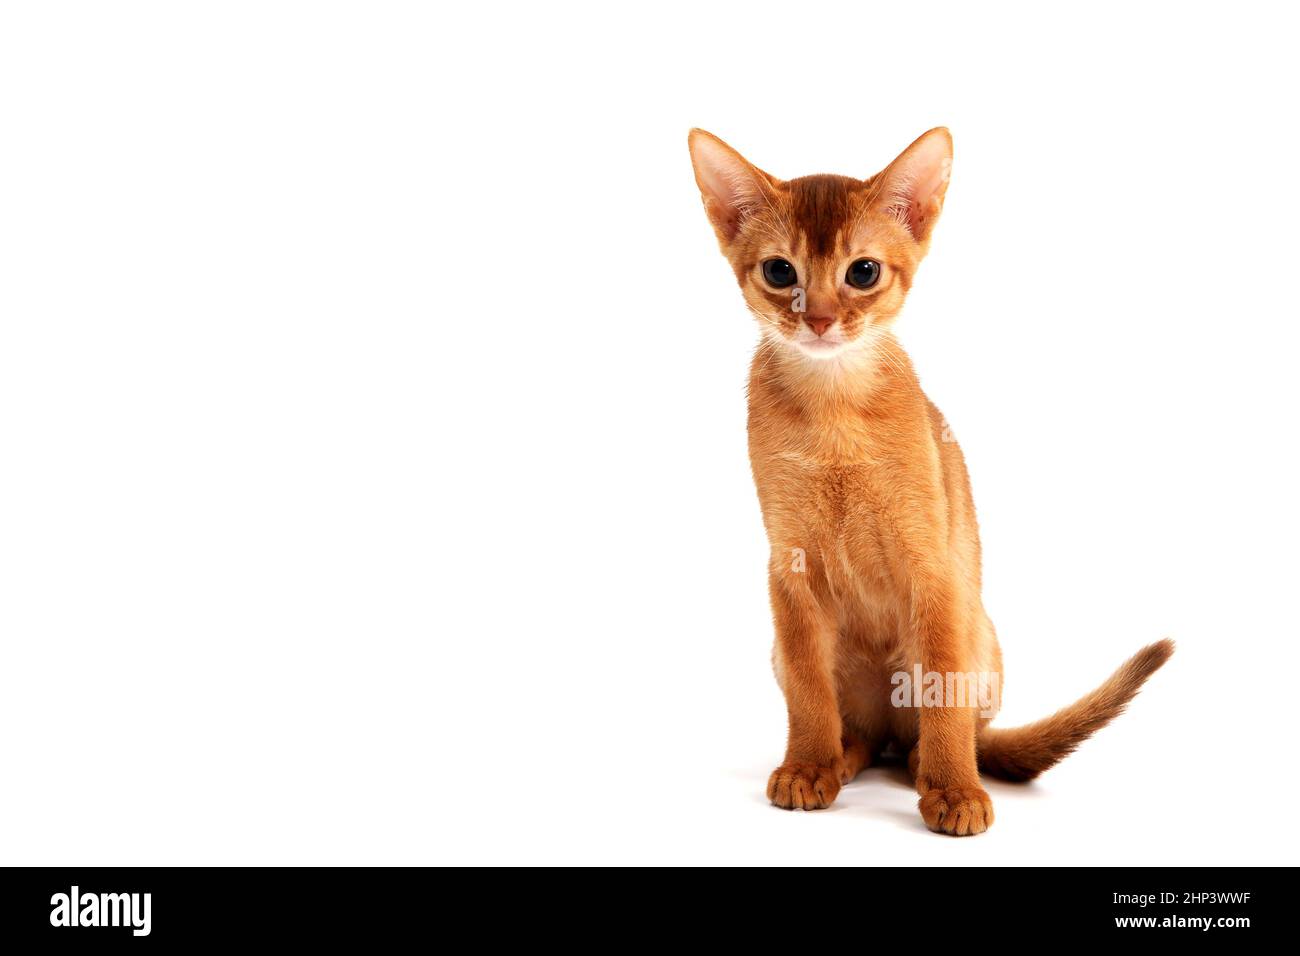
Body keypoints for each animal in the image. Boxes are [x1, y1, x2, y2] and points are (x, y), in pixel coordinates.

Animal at [686, 128, 1175, 837]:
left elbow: (941, 689)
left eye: (862, 272)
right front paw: (806, 765)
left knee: (949, 727)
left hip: (981, 635)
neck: (834, 416)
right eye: (781, 272)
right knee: (863, 732)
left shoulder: (933, 564)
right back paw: (839, 759)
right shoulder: (789, 567)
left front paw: (955, 791)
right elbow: (809, 689)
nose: (820, 320)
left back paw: (934, 764)